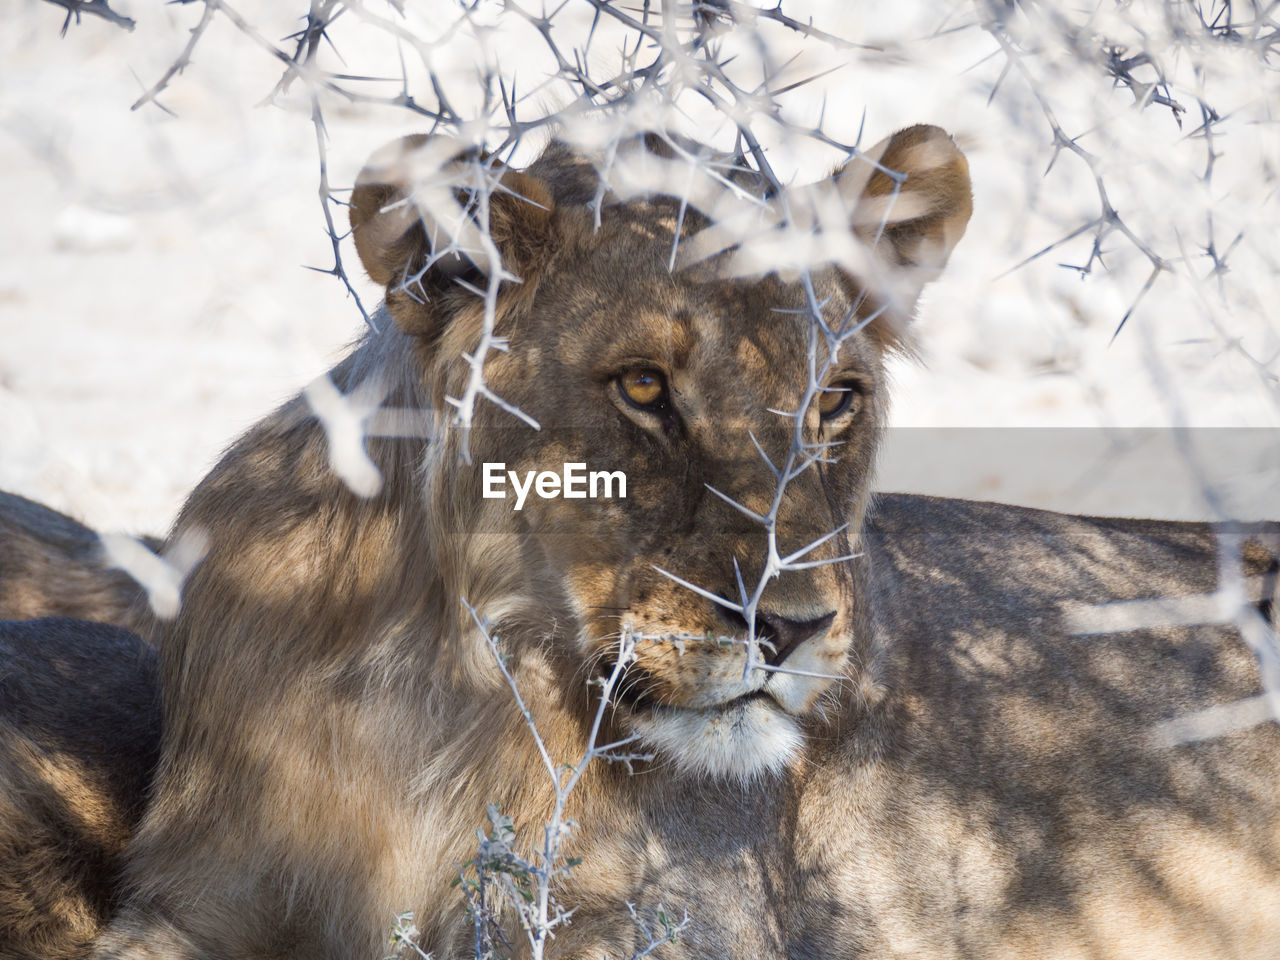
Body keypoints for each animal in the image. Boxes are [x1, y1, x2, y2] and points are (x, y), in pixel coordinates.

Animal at [2, 128, 1280, 960]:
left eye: (835, 403)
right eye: (643, 388)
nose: (794, 630)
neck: (436, 685)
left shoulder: (670, 921)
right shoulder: (188, 903)